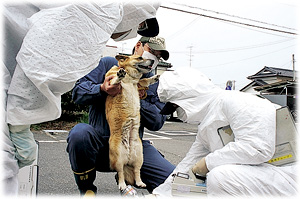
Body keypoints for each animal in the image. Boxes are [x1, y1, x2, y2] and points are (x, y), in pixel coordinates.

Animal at [105, 54, 159, 191]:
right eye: (140, 57)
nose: (152, 60)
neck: (130, 77)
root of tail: (128, 157)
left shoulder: (139, 83)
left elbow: (145, 80)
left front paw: (154, 77)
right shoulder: (112, 81)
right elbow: (115, 80)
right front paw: (120, 74)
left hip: (139, 157)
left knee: (136, 172)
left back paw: (140, 182)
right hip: (118, 158)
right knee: (120, 174)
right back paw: (122, 185)